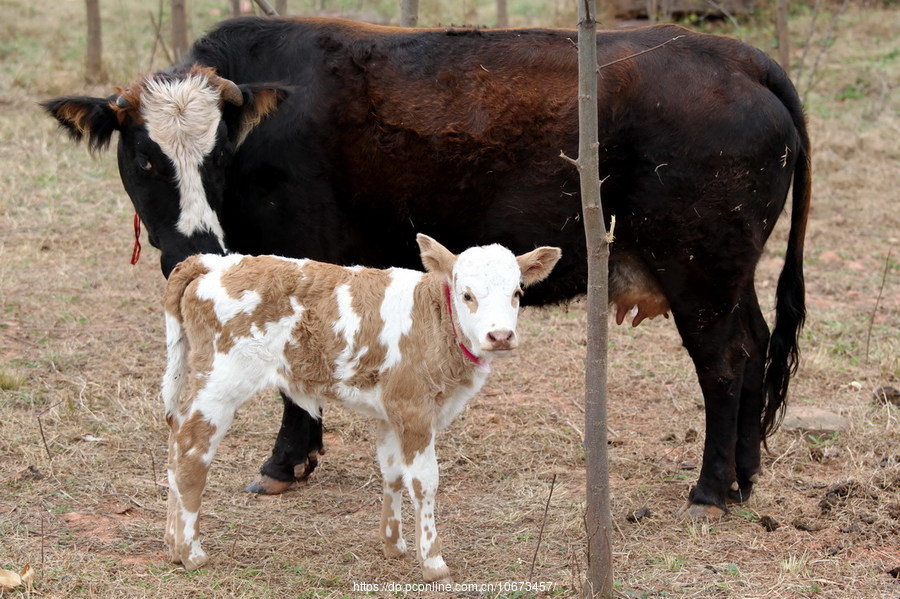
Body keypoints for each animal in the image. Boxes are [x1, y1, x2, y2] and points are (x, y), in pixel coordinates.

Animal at [44, 16, 816, 516]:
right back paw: (745, 476)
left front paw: (285, 461)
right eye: (145, 158)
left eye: (215, 155)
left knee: (725, 361)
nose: (191, 244)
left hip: (700, 270)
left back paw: (712, 489)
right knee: (755, 348)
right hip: (728, 273)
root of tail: (741, 59)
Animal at [158, 234, 560, 580]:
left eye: (517, 292)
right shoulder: (414, 411)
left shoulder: (390, 412)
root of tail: (213, 262)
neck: (434, 320)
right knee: (191, 453)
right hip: (221, 384)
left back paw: (173, 546)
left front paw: (394, 544)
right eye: (467, 295)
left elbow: (393, 473)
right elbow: (424, 481)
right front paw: (432, 561)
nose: (500, 336)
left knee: (175, 445)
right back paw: (192, 552)